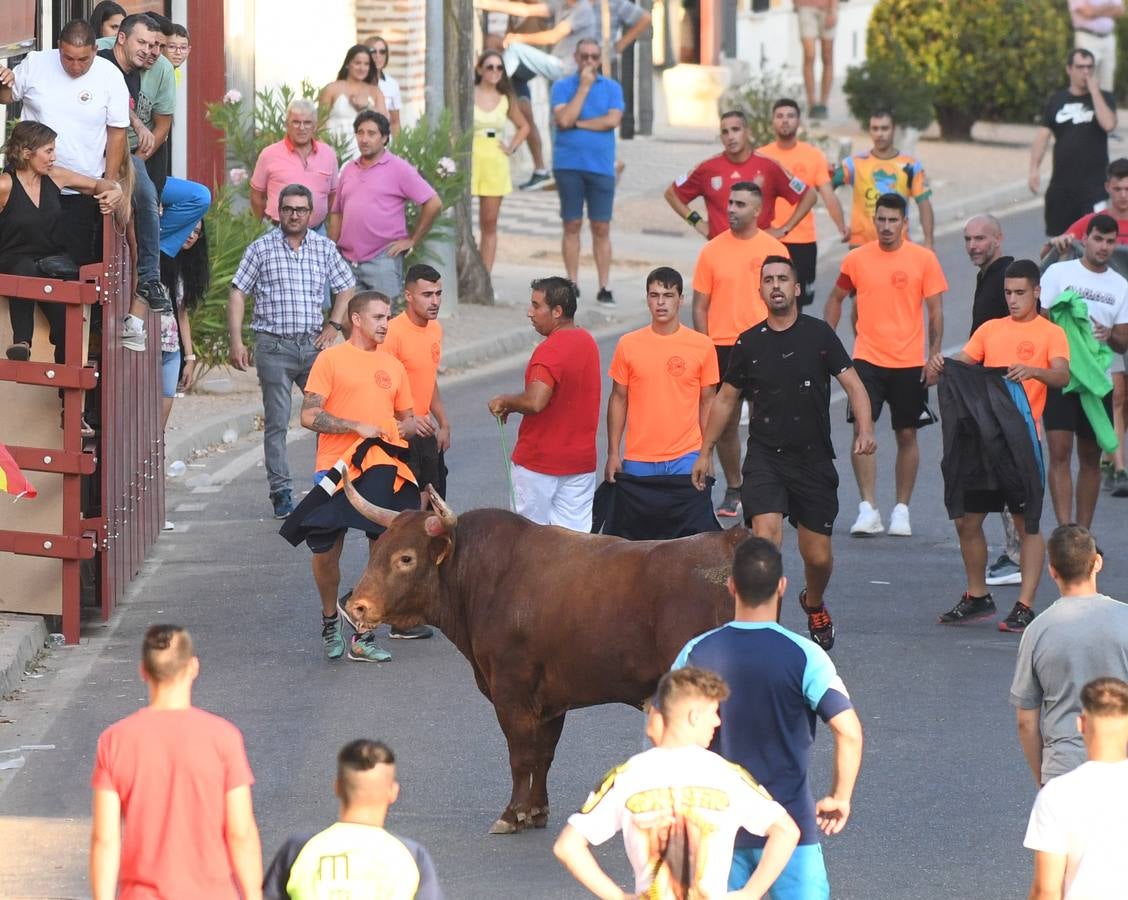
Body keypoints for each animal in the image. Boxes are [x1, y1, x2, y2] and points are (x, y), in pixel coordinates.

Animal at [342, 478, 748, 839]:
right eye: (376, 551)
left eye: (406, 558)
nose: (357, 605)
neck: (485, 576)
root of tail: (730, 543)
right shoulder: (552, 698)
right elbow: (544, 754)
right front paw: (537, 810)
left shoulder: (510, 691)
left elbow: (521, 754)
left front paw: (512, 814)